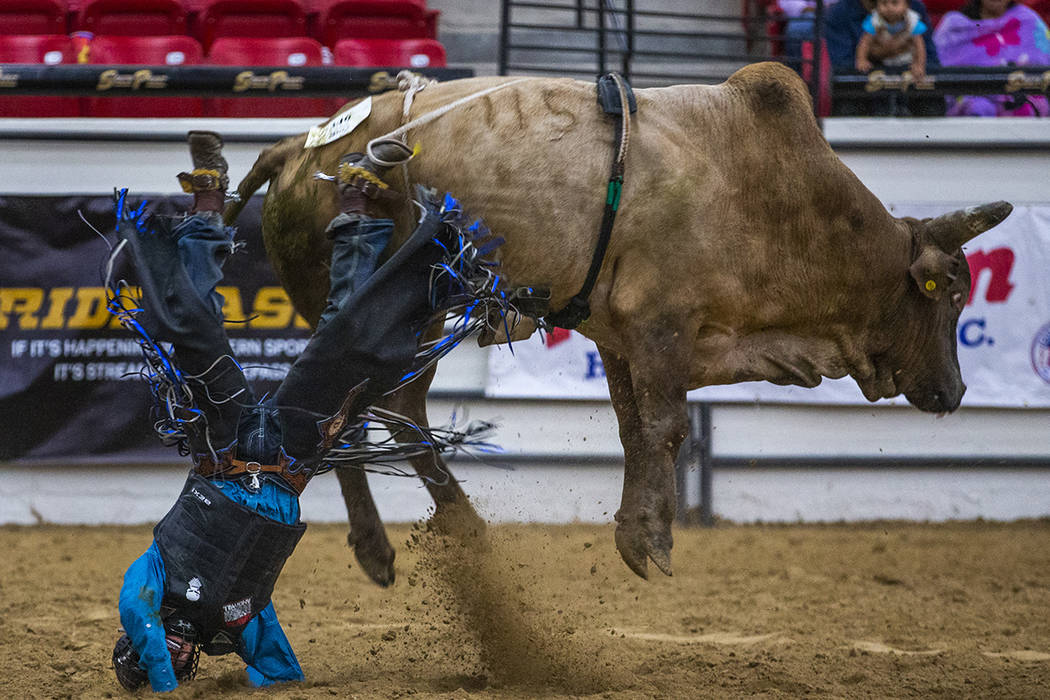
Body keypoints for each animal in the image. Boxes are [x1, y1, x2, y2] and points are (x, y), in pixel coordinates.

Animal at [225, 64, 1012, 579]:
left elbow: (637, 430)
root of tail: (294, 148)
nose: (955, 392)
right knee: (350, 410)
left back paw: (446, 528)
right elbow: (665, 428)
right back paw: (392, 542)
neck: (769, 194)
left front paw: (637, 532)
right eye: (947, 291)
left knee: (384, 408)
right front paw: (651, 542)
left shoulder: (619, 336)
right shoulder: (662, 324)